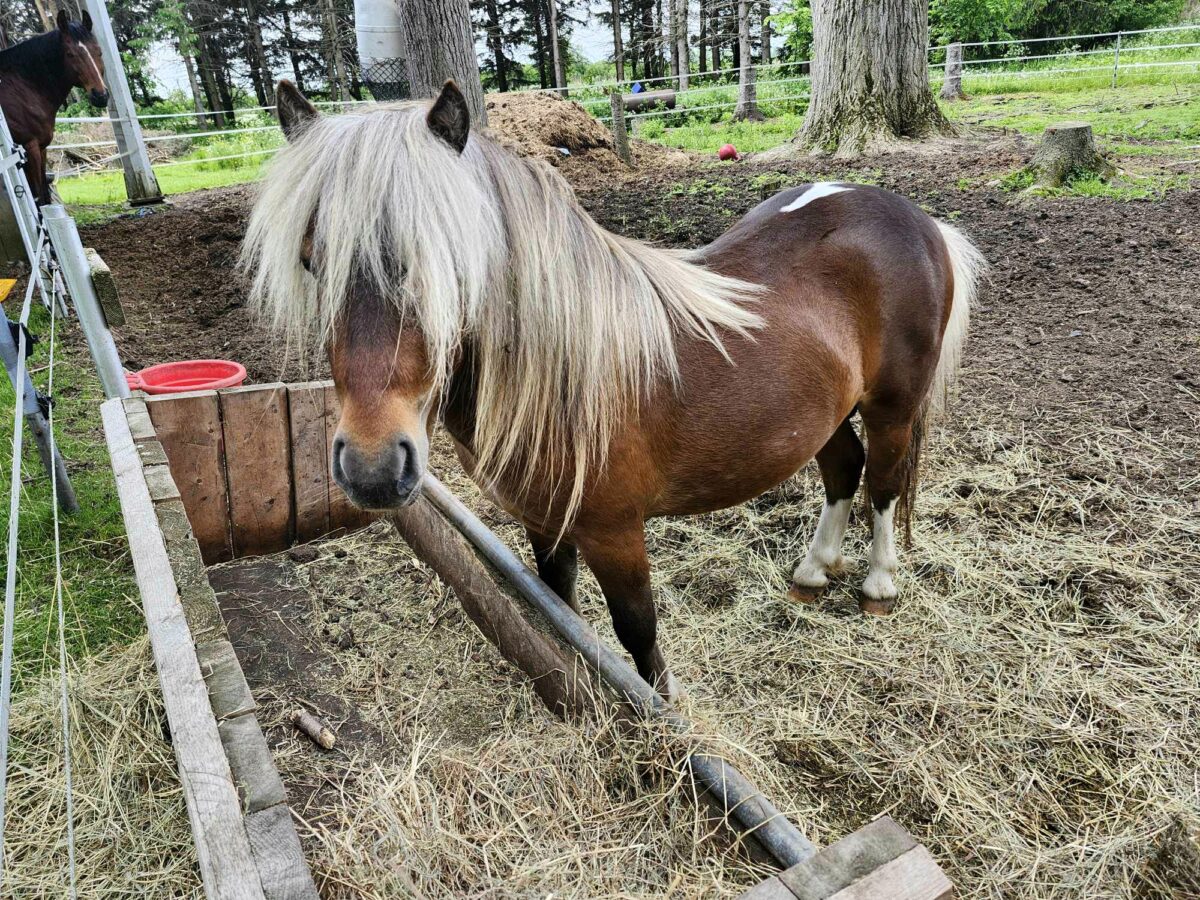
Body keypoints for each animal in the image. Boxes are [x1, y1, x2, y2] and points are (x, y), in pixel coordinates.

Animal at [0, 10, 108, 204]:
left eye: (99, 51)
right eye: (70, 54)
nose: (100, 96)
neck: (21, 88)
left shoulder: (41, 149)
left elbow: (44, 195)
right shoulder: (31, 149)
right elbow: (40, 198)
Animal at [243, 82, 984, 705]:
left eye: (448, 263)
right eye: (311, 260)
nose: (372, 467)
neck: (566, 370)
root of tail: (912, 216)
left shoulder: (616, 532)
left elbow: (638, 631)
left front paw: (666, 717)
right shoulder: (546, 522)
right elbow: (562, 609)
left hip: (893, 407)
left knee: (883, 483)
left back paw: (878, 584)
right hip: (821, 414)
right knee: (843, 470)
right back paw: (812, 572)